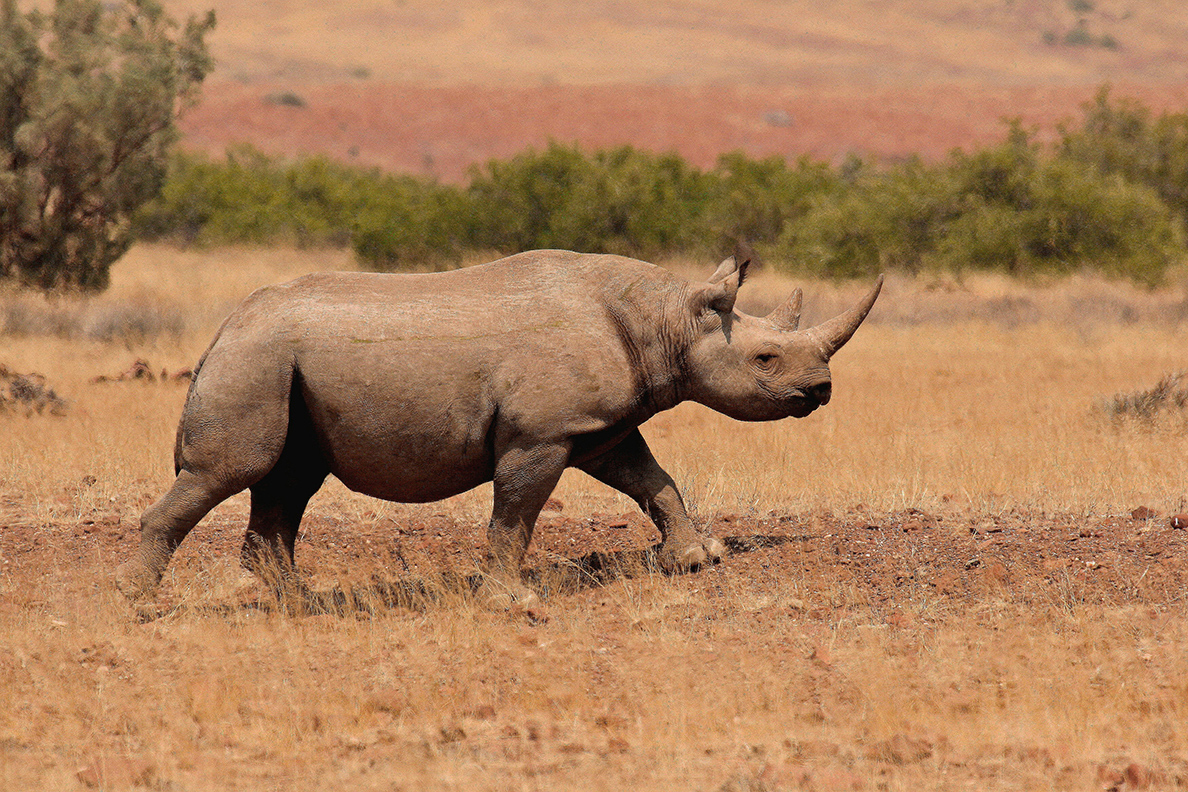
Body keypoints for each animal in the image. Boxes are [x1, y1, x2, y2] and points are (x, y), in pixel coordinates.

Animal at [115, 250, 882, 607]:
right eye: (765, 359)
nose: (820, 391)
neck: (665, 319)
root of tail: (223, 328)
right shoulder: (540, 433)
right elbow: (516, 513)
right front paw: (513, 599)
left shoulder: (597, 424)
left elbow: (651, 479)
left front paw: (696, 560)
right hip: (257, 357)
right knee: (233, 471)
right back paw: (139, 599)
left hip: (279, 361)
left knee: (290, 479)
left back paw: (293, 602)